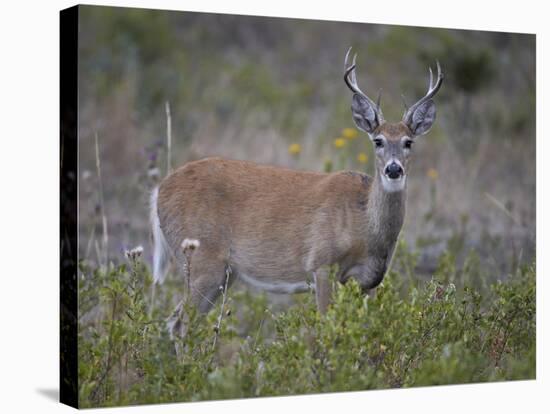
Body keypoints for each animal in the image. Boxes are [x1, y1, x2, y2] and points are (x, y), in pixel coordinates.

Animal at [151, 47, 444, 348]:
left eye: (409, 142)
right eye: (378, 140)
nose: (393, 169)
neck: (364, 224)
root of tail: (159, 190)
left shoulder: (369, 280)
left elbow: (368, 333)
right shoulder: (322, 263)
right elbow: (327, 332)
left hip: (224, 273)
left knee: (176, 320)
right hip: (200, 258)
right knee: (181, 323)